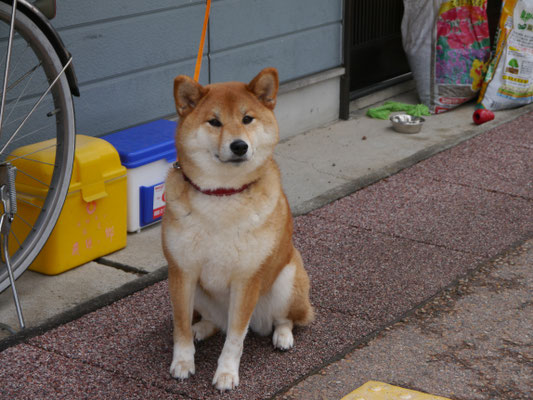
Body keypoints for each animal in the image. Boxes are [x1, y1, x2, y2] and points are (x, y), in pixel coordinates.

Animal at [160, 68, 314, 390]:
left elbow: (235, 338)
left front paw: (226, 373)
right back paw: (202, 328)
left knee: (284, 318)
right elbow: (180, 325)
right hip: (200, 293)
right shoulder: (182, 272)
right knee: (215, 322)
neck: (222, 194)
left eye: (247, 119)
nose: (239, 145)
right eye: (214, 121)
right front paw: (183, 361)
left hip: (287, 278)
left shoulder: (247, 278)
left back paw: (282, 336)